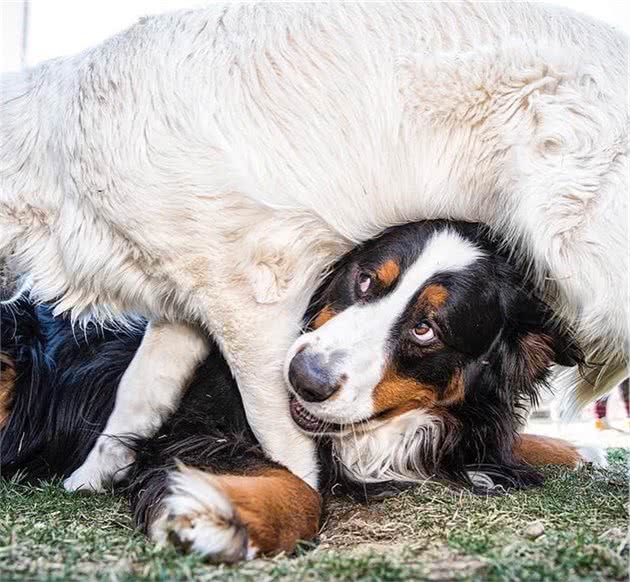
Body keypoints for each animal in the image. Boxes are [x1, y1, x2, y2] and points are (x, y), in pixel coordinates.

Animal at [0, 2, 628, 496]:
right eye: (365, 280)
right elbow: (136, 397)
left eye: (426, 328)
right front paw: (91, 476)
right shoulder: (185, 307)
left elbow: (286, 444)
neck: (56, 148)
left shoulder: (252, 308)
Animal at [0, 221, 604, 564]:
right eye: (364, 279)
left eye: (425, 328)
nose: (303, 377)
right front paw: (217, 519)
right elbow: (303, 487)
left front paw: (577, 449)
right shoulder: (195, 429)